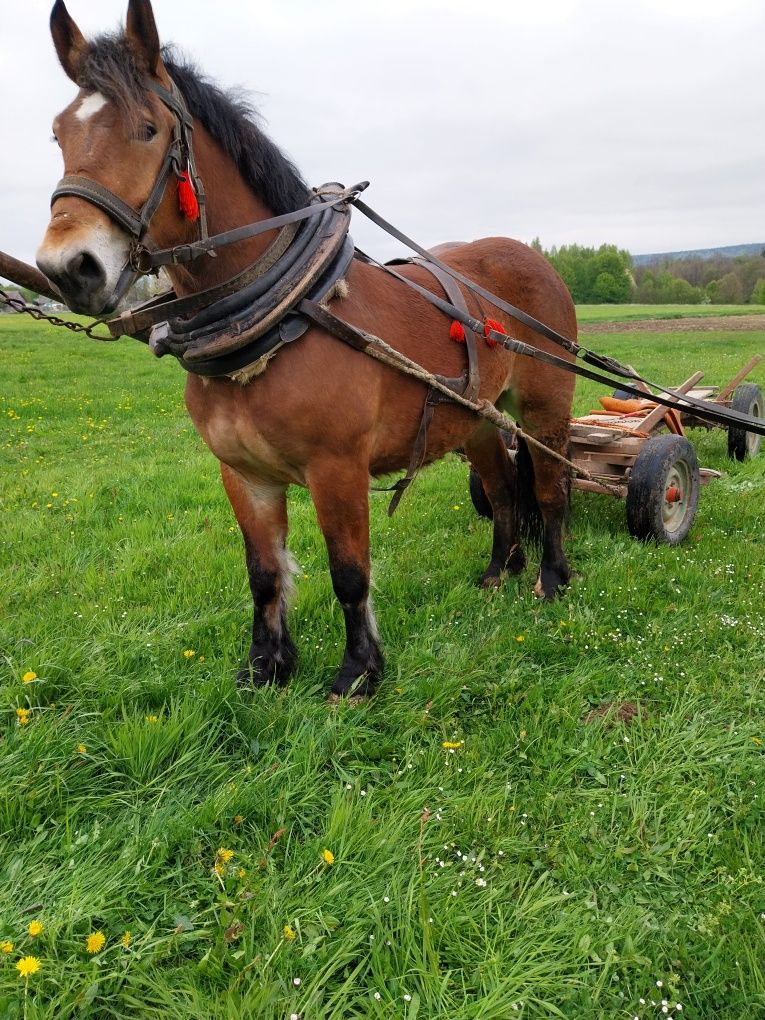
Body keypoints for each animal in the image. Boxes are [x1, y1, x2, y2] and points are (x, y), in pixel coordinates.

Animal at [34, 0, 575, 701]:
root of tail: (530, 256)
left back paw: (551, 578)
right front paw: (266, 667)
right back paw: (496, 574)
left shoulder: (336, 468)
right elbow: (264, 573)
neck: (280, 318)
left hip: (544, 407)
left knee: (551, 490)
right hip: (477, 419)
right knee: (505, 490)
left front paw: (358, 672)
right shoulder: (244, 474)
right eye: (58, 135)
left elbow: (349, 571)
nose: (68, 268)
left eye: (148, 130)